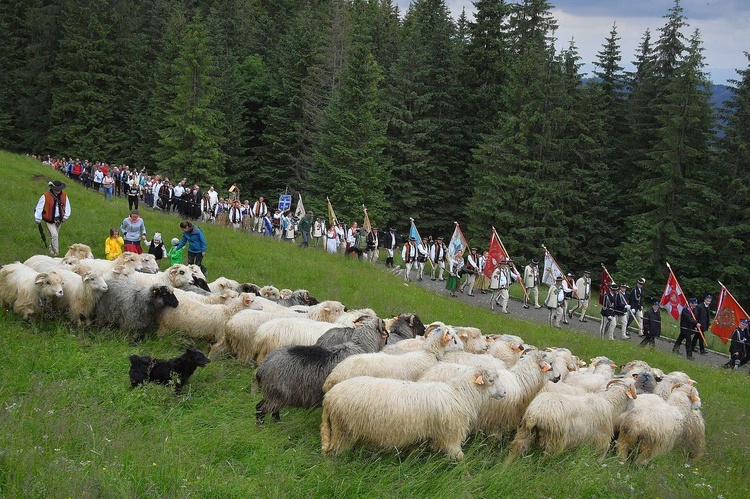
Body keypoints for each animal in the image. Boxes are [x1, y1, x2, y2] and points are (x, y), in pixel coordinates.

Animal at [256, 320, 390, 422]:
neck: (361, 346)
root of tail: (263, 366)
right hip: (278, 394)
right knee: (260, 409)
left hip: (273, 393)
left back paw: (277, 423)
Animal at [320, 368, 508, 460]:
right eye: (491, 380)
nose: (505, 393)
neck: (461, 395)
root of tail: (329, 397)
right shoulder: (451, 436)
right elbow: (460, 459)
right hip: (343, 430)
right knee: (334, 454)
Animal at [508, 378, 636, 464]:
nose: (634, 407)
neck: (610, 404)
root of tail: (534, 415)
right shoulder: (602, 440)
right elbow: (600, 458)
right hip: (553, 442)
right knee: (542, 461)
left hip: (524, 432)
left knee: (515, 450)